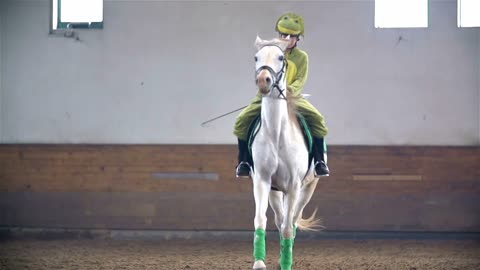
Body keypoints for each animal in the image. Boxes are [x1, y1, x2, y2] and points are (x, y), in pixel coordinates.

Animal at [249, 35, 320, 270]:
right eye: (256, 57)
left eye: (281, 58)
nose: (263, 81)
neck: (276, 134)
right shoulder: (262, 181)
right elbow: (261, 220)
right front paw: (259, 263)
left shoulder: (293, 186)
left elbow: (289, 227)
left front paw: (286, 264)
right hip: (275, 191)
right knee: (280, 221)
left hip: (307, 189)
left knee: (293, 221)